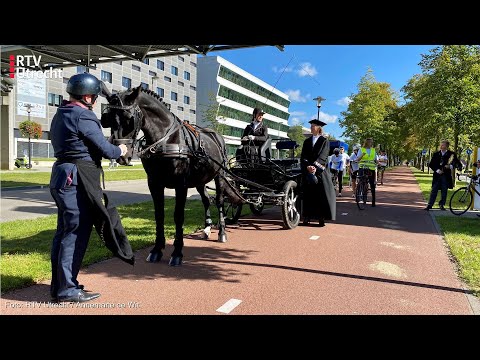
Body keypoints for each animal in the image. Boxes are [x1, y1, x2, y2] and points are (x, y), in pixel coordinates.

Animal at [100, 86, 242, 266]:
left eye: (129, 119)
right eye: (107, 119)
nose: (121, 156)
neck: (165, 140)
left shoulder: (181, 184)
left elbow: (178, 216)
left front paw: (177, 252)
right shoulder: (154, 183)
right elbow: (159, 215)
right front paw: (156, 249)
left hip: (220, 175)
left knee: (219, 201)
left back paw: (222, 232)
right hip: (200, 180)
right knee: (205, 200)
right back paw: (207, 228)